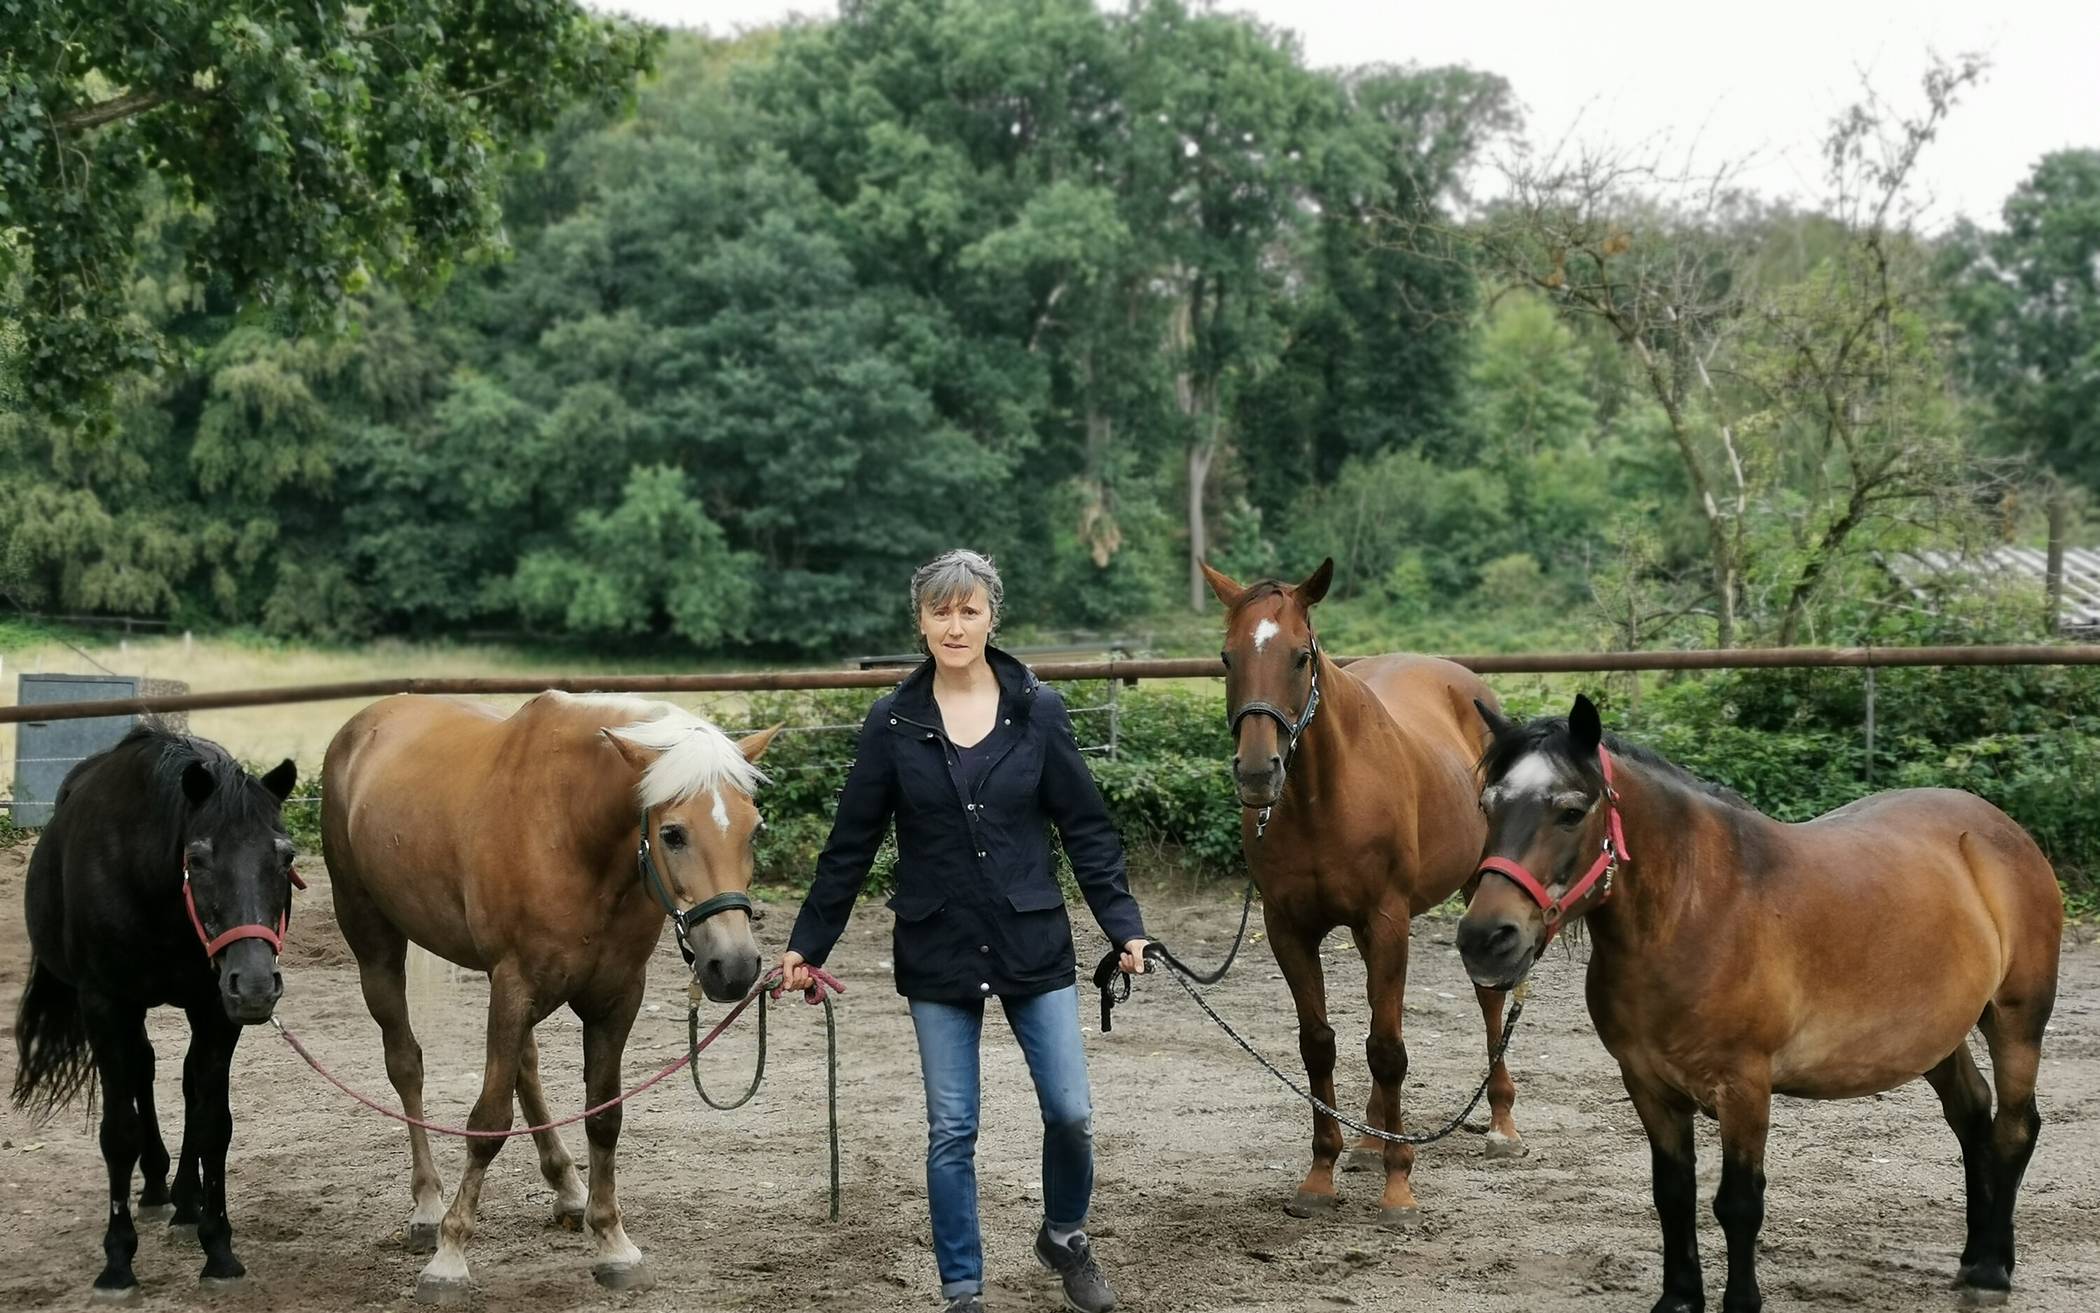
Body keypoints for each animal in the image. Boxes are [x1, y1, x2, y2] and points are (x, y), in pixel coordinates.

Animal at [11, 722, 300, 1294]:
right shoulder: (105, 1003)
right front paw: (118, 1260)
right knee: (140, 1069)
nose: (257, 986)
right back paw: (153, 1188)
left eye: (286, 857)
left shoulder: (215, 1008)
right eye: (198, 859)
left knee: (182, 1083)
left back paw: (186, 1200)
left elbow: (213, 1123)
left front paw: (219, 1248)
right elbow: (118, 1131)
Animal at [323, 693, 785, 1294]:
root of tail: (364, 724)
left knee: (525, 1064)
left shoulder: (615, 996)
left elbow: (604, 1117)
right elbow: (487, 1123)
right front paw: (449, 1257)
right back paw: (427, 1208)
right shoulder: (515, 983)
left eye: (754, 830)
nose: (733, 966)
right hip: (375, 945)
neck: (573, 831)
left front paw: (613, 1242)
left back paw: (567, 1189)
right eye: (673, 833)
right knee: (406, 1064)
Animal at [1201, 558, 1528, 1226]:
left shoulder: (1387, 921)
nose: (1257, 772)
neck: (1323, 797)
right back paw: (1369, 1141)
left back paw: (1500, 1127)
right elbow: (1320, 1046)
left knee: (1488, 1000)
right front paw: (1322, 1175)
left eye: (1301, 656)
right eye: (1226, 657)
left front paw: (1399, 1187)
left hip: (1472, 892)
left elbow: (1387, 1049)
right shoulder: (1289, 928)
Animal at [1453, 693, 2058, 1302]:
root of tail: (1999, 828)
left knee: (2015, 1127)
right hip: (1934, 1035)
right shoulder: (1647, 1084)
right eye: (1486, 805)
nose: (1486, 939)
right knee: (1972, 1113)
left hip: (2016, 1021)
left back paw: (1991, 1272)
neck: (1694, 913)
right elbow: (1672, 1193)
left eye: (1572, 811)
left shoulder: (1744, 1088)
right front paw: (1678, 1299)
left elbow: (1739, 1204)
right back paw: (1976, 1256)